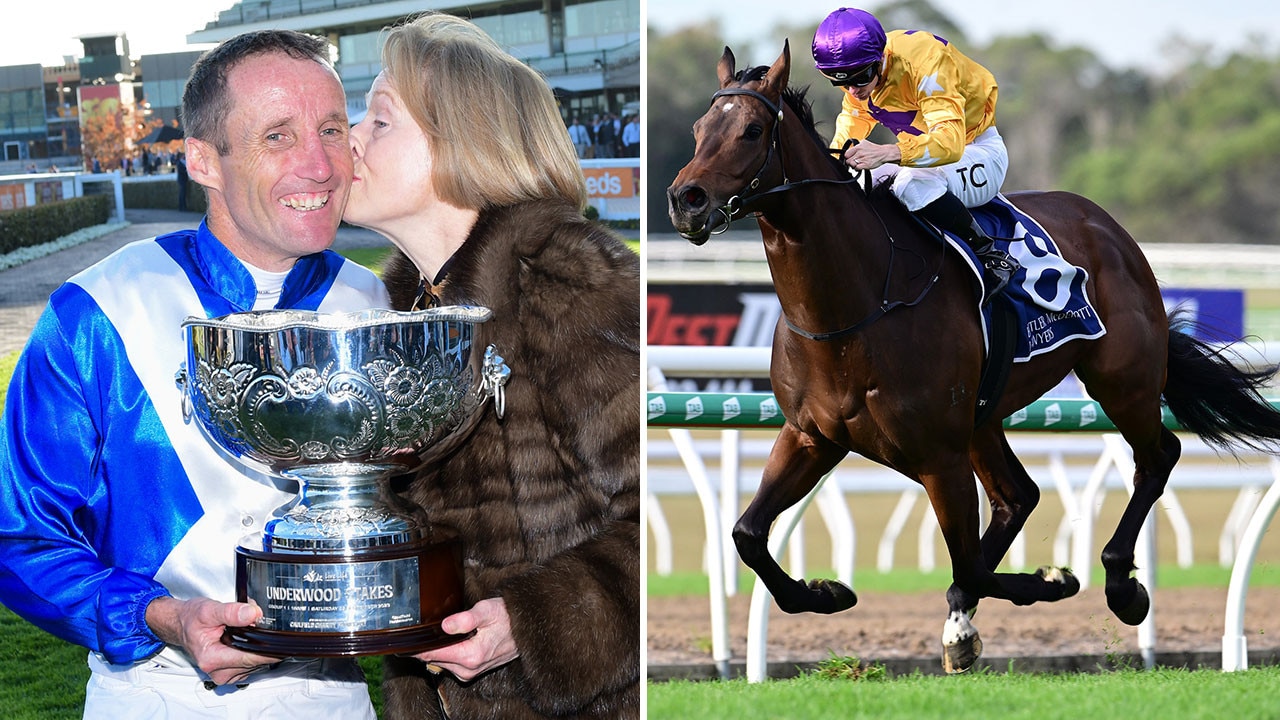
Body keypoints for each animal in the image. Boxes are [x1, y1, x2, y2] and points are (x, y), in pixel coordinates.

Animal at [665, 41, 1280, 671]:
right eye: (697, 129)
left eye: (751, 130)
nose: (686, 200)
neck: (856, 305)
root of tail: (1109, 226)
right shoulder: (812, 436)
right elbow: (747, 534)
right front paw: (826, 591)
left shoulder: (940, 457)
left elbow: (968, 565)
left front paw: (1024, 596)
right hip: (985, 417)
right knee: (1018, 497)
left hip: (1121, 379)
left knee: (1156, 458)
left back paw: (1120, 585)